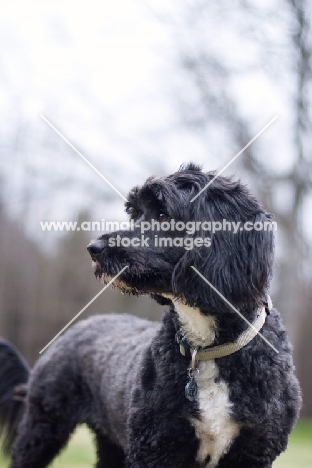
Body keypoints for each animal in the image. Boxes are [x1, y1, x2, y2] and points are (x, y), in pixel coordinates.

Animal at [0, 163, 302, 466]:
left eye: (162, 214)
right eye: (135, 213)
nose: (94, 249)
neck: (204, 347)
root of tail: (83, 324)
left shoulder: (254, 449)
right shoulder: (153, 444)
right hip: (42, 426)